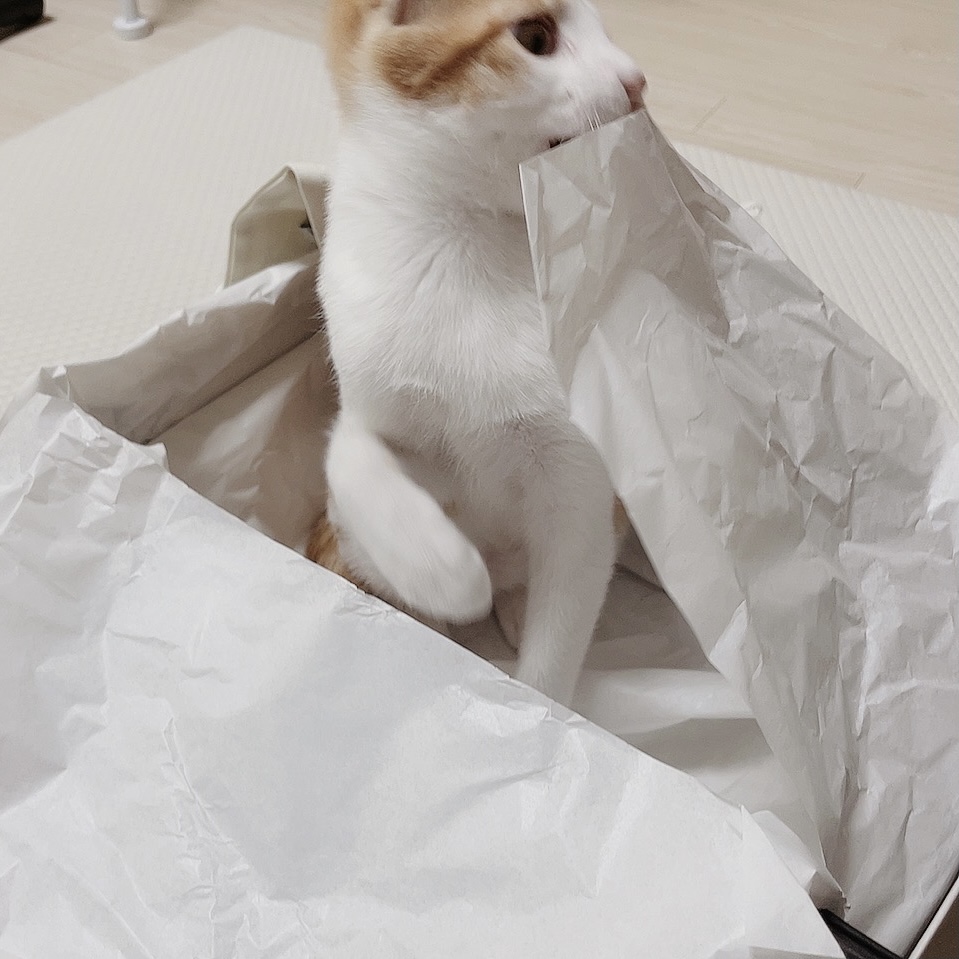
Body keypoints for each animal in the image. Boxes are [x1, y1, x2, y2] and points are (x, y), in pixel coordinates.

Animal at [309, 0, 645, 706]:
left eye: (608, 30)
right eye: (536, 37)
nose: (638, 81)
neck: (467, 242)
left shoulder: (581, 491)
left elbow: (558, 643)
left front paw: (533, 710)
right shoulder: (371, 402)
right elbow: (350, 455)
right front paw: (445, 573)